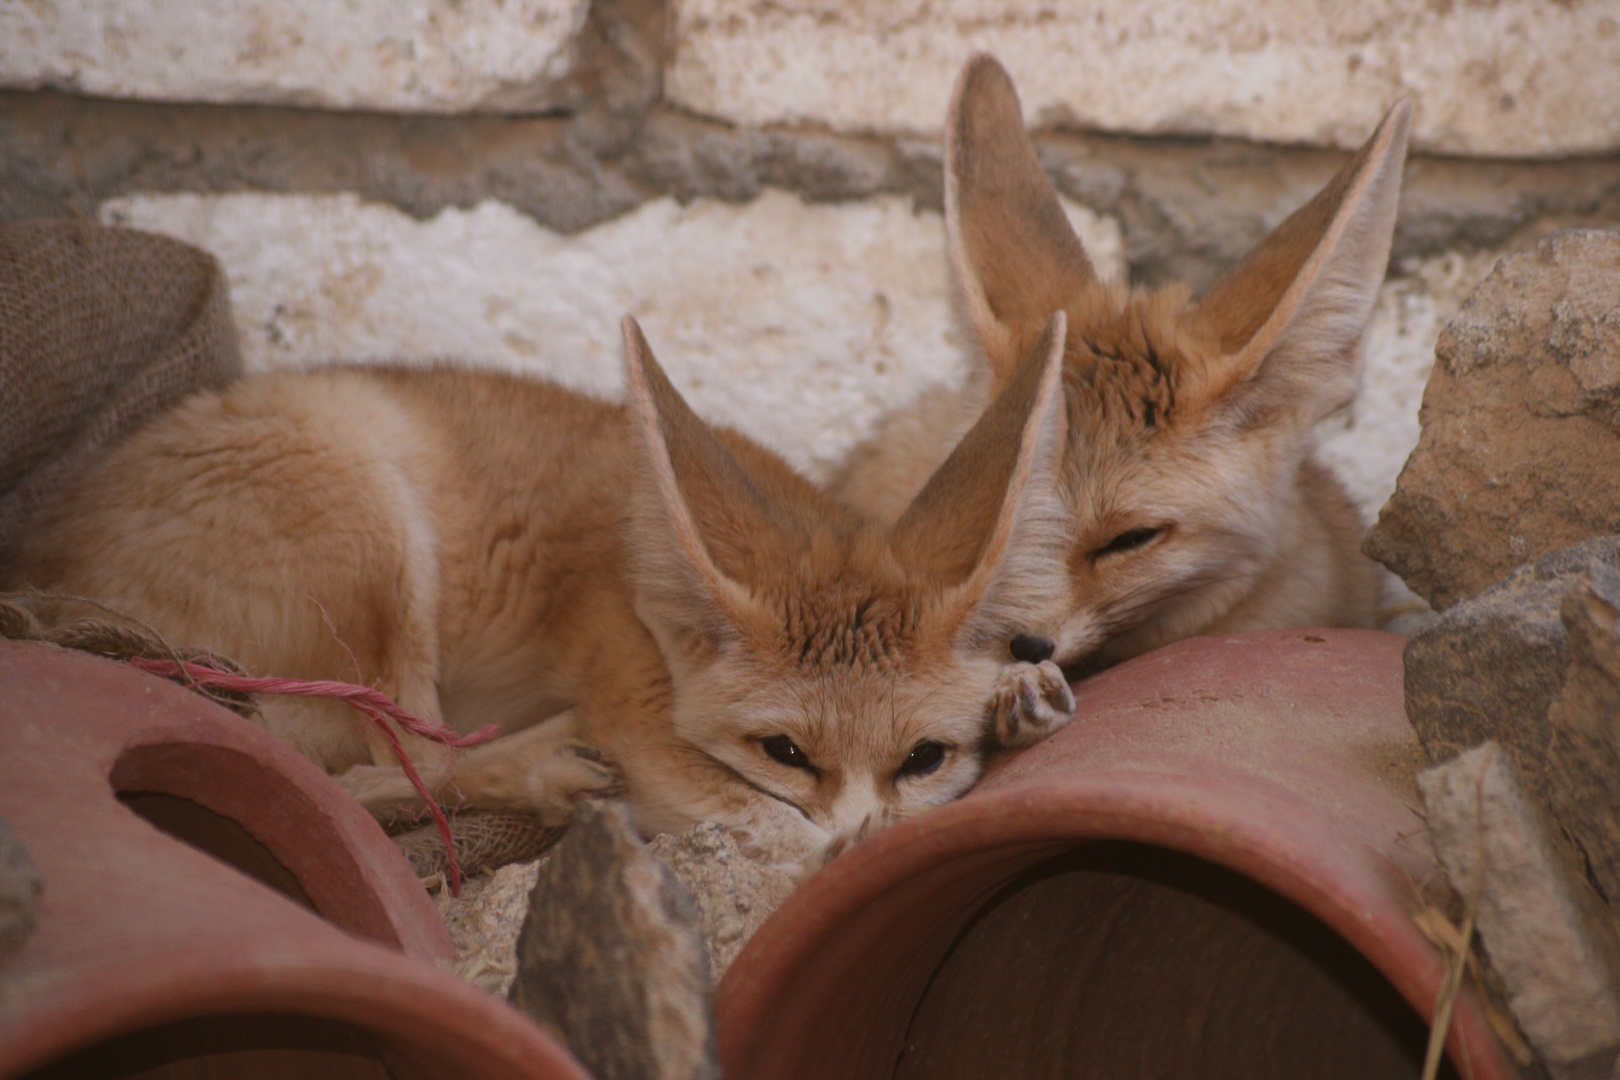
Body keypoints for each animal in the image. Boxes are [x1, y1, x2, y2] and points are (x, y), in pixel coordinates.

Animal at [12, 310, 1082, 867]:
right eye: (784, 750)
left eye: (924, 759)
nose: (868, 833)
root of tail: (37, 573)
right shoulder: (637, 707)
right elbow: (777, 829)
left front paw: (1023, 700)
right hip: (373, 527)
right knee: (376, 775)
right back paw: (544, 771)